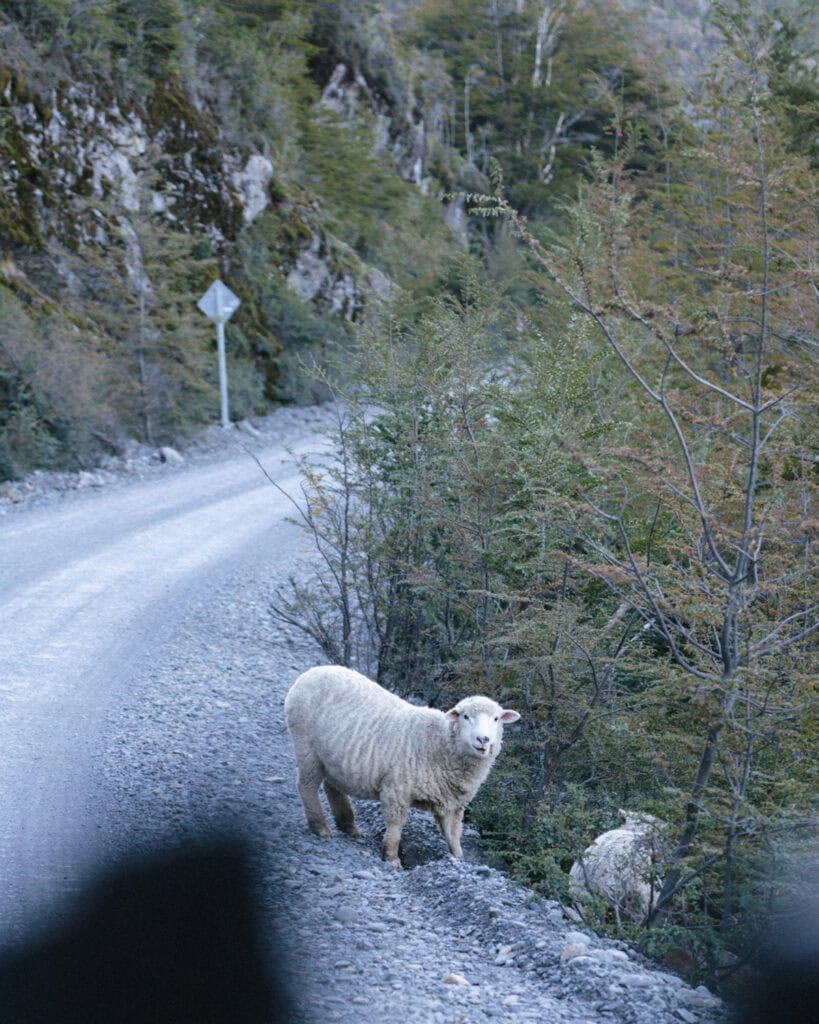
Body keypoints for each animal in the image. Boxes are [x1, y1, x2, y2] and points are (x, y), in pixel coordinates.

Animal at [284, 665, 520, 867]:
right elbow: (396, 826)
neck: (440, 744)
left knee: (332, 786)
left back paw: (348, 826)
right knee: (306, 786)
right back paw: (320, 827)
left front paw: (459, 860)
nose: (483, 739)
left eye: (497, 718)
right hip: (307, 746)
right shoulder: (396, 789)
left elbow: (453, 834)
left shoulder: (453, 803)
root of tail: (311, 672)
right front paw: (392, 858)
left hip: (332, 757)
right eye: (465, 716)